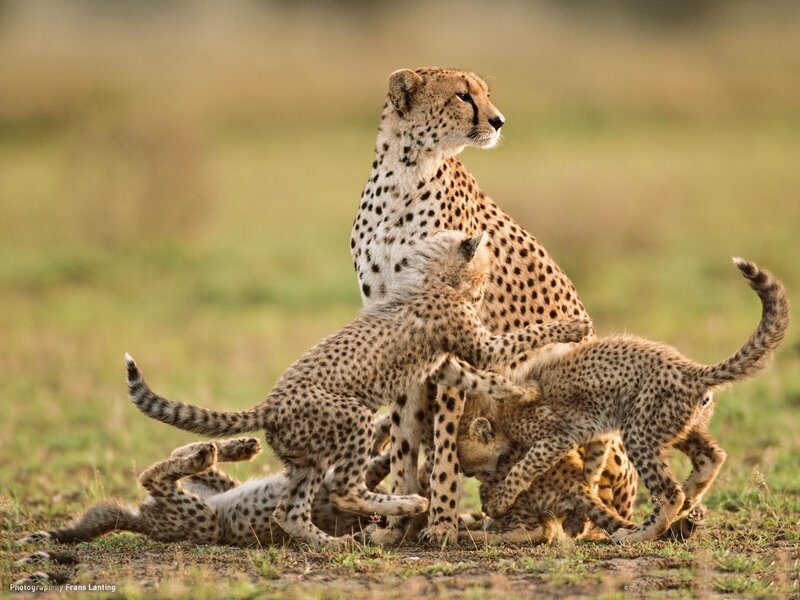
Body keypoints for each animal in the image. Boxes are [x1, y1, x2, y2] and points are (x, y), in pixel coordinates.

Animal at [125, 229, 591, 549]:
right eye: (483, 272)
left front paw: (521, 394)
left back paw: (331, 545)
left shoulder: (444, 364)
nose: (482, 292)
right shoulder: (476, 345)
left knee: (290, 512)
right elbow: (522, 338)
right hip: (352, 420)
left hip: (307, 459)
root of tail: (269, 404)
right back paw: (406, 506)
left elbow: (482, 378)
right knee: (346, 490)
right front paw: (572, 327)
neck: (430, 278)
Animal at [351, 66, 638, 544]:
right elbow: (405, 440)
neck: (407, 173)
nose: (499, 120)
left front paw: (441, 523)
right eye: (462, 96)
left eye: (484, 93)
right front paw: (396, 525)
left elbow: (446, 442)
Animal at [478, 258, 789, 543]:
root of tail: (692, 370)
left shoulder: (556, 434)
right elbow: (590, 469)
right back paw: (688, 504)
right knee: (711, 456)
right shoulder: (593, 430)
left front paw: (499, 500)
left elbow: (525, 466)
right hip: (677, 426)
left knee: (669, 492)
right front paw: (577, 516)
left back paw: (639, 533)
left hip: (639, 430)